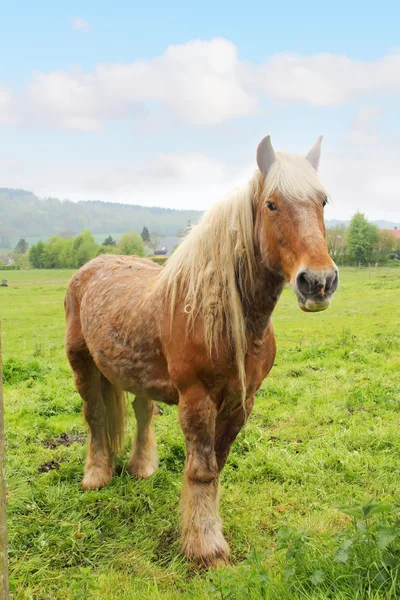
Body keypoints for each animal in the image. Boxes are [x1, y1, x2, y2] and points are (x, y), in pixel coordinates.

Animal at [65, 136, 338, 568]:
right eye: (271, 204)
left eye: (322, 201)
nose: (319, 282)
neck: (225, 316)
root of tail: (92, 267)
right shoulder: (197, 400)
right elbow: (202, 471)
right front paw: (205, 548)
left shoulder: (242, 402)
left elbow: (217, 466)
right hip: (82, 364)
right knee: (94, 416)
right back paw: (96, 475)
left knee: (142, 411)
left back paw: (142, 467)